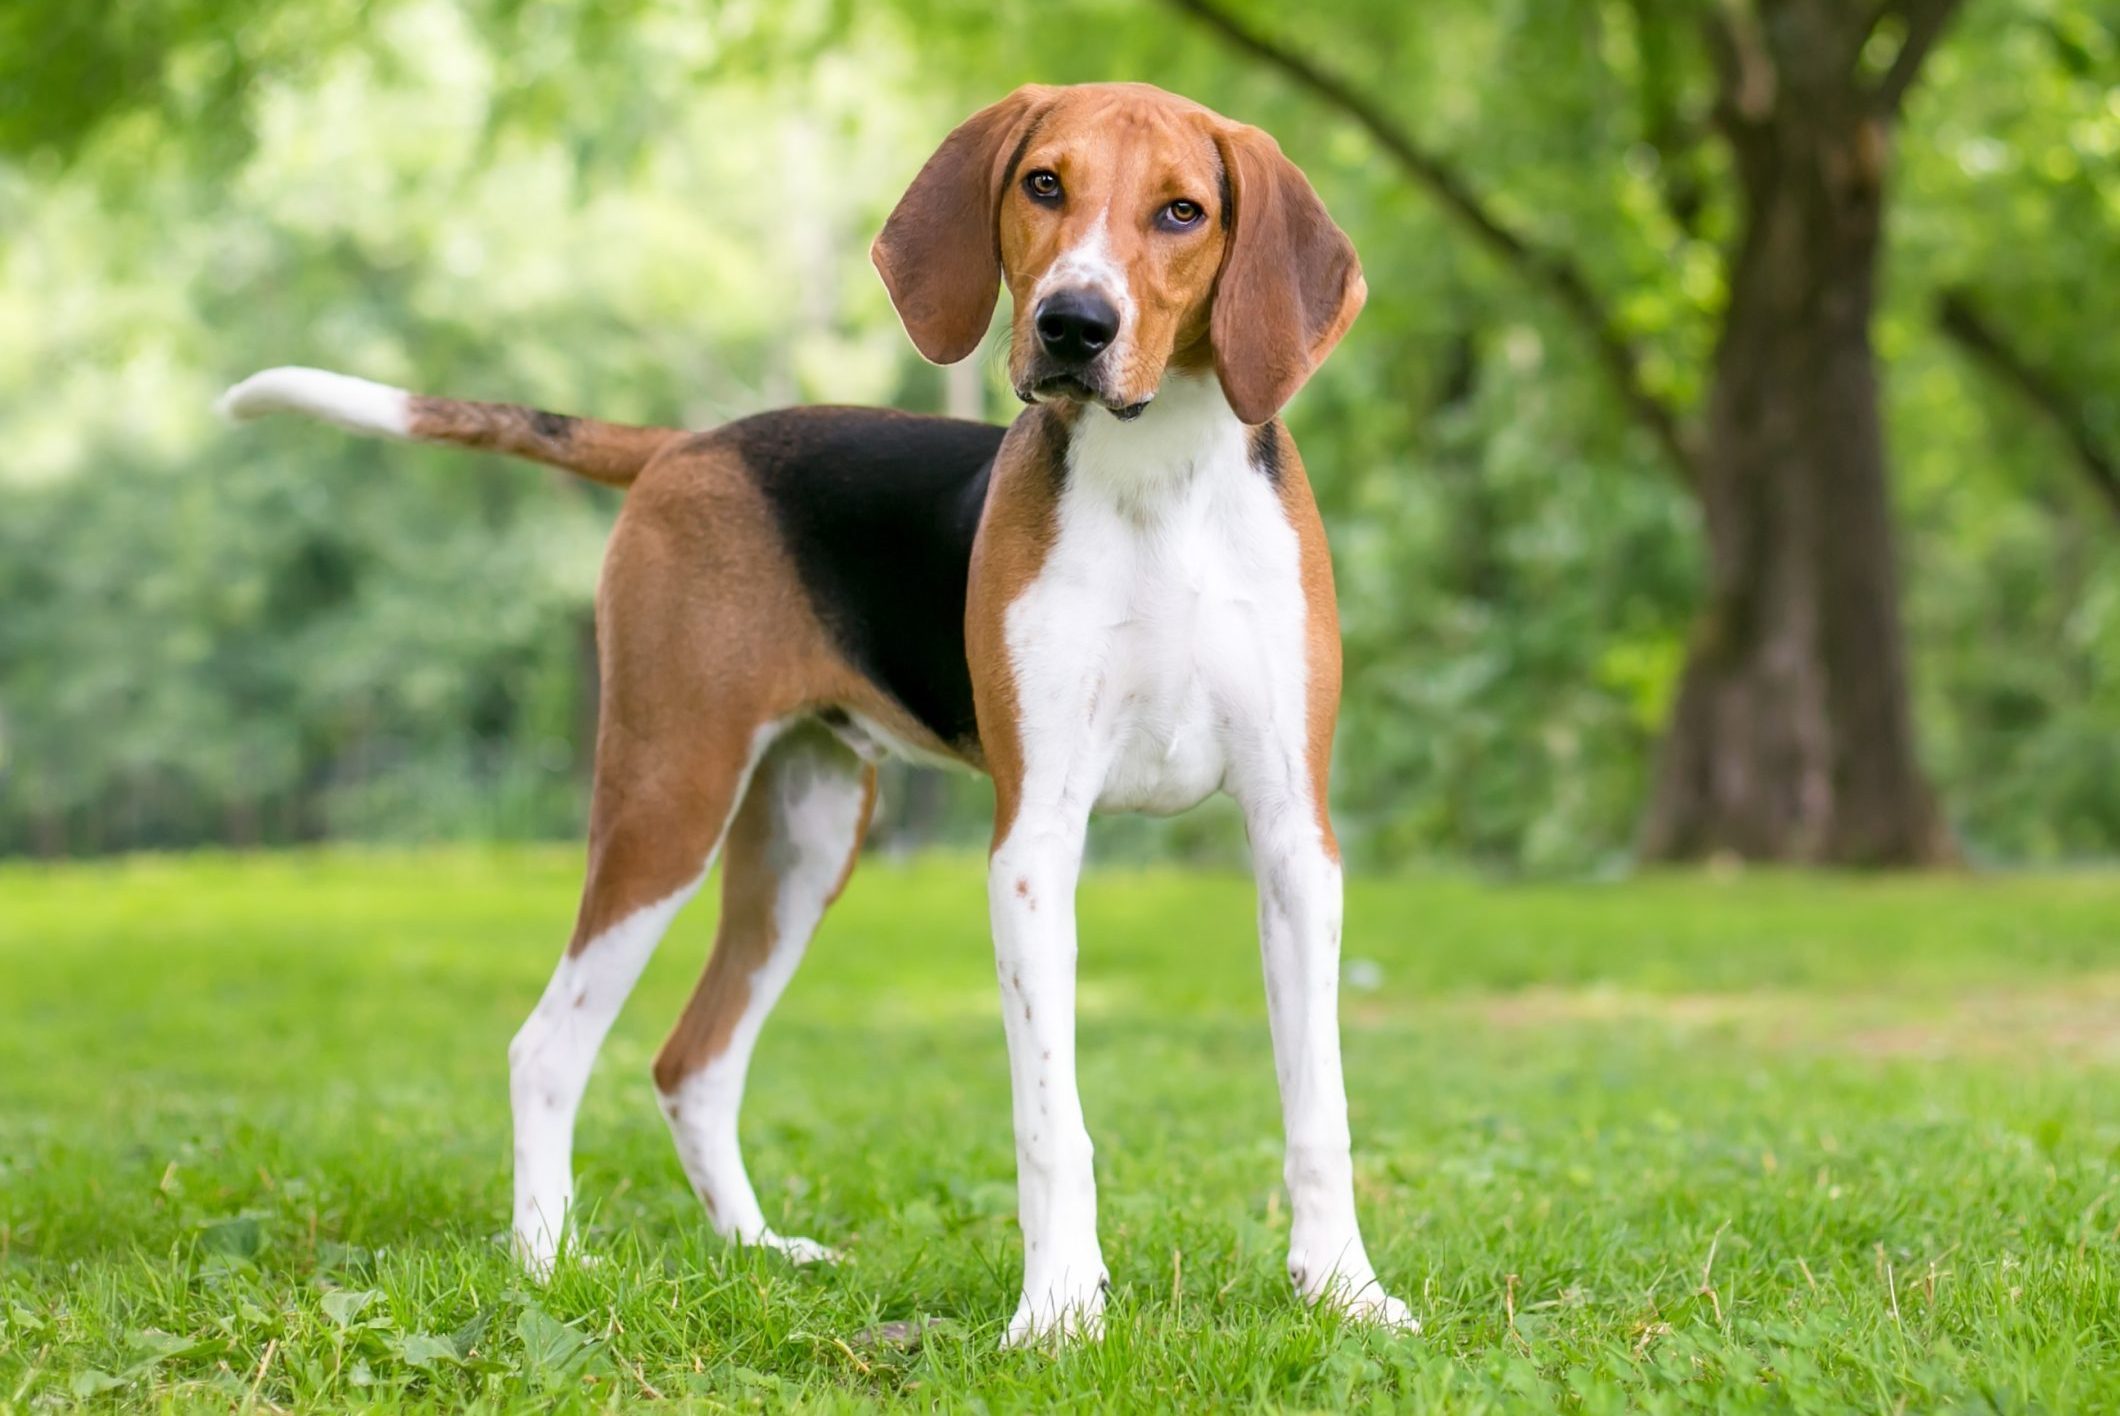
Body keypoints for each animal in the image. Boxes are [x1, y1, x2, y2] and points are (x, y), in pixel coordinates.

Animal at [219, 83, 1407, 1348]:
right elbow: (1051, 1119)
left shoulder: (1293, 839)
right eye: (1042, 183)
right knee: (547, 1047)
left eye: (1182, 211)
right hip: (669, 801)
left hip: (801, 841)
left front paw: (1344, 1289)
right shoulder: (1034, 845)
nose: (1072, 326)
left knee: (692, 1062)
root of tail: (690, 443)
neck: (1161, 484)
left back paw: (754, 1253)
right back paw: (546, 1267)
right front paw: (1055, 1314)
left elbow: (1319, 1105)